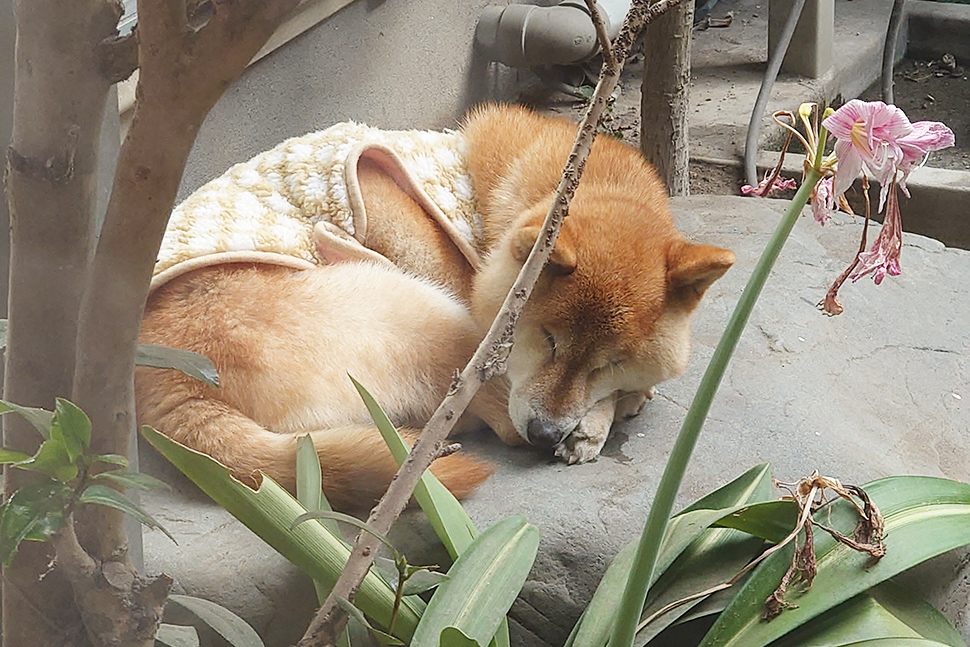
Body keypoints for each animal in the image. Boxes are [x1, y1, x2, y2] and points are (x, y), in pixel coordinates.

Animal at [134, 104, 728, 508]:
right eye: (548, 341)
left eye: (610, 361)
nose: (546, 435)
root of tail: (173, 386)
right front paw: (603, 416)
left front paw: (611, 404)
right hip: (427, 315)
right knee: (494, 417)